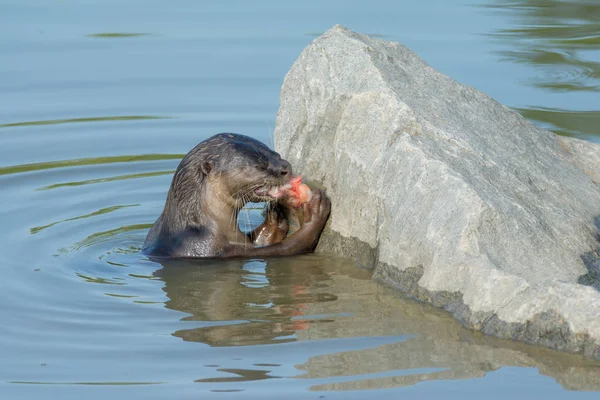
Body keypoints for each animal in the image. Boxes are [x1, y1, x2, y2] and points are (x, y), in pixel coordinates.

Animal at [143, 134, 330, 260]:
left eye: (276, 155)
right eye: (260, 165)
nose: (286, 167)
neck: (204, 224)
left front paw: (275, 218)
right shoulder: (213, 249)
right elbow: (290, 246)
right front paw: (314, 212)